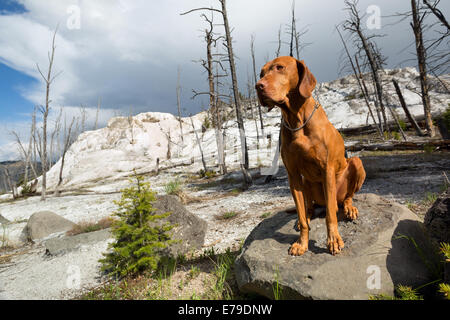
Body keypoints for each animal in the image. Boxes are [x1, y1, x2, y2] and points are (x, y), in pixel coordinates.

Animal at [256, 56, 366, 256]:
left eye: (280, 67)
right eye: (261, 73)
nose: (258, 86)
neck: (296, 119)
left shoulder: (327, 169)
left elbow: (330, 215)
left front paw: (333, 240)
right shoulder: (293, 175)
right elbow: (302, 216)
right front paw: (302, 243)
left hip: (355, 164)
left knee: (343, 199)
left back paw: (349, 207)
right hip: (306, 182)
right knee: (309, 207)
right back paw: (305, 216)